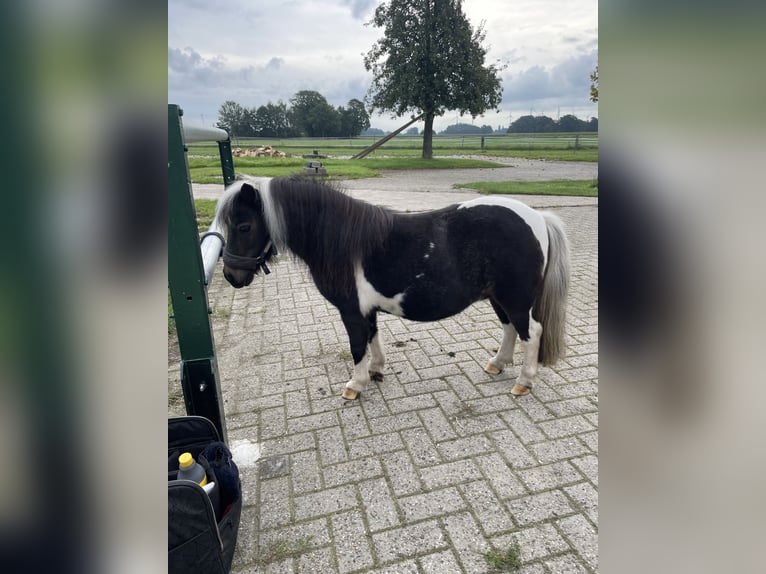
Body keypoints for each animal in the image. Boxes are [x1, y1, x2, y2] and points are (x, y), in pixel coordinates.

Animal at [216, 176, 568, 400]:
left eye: (244, 226)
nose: (231, 275)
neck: (341, 241)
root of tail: (538, 217)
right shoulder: (365, 310)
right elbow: (373, 337)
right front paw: (376, 370)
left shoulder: (350, 311)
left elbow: (357, 345)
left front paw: (355, 385)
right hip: (500, 297)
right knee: (510, 329)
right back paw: (497, 365)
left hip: (517, 299)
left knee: (531, 332)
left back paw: (523, 382)